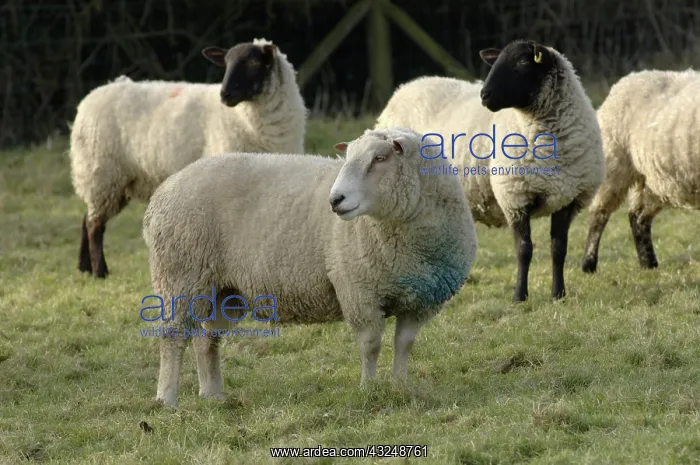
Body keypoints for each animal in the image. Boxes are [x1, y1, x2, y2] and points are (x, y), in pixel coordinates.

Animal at [70, 38, 307, 279]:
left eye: (253, 62)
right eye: (226, 62)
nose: (224, 94)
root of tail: (92, 95)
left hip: (106, 180)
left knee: (86, 219)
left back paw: (83, 267)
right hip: (102, 174)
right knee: (94, 225)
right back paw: (99, 271)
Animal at [141, 127, 478, 407]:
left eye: (380, 158)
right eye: (348, 158)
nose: (335, 200)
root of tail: (162, 192)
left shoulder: (421, 301)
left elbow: (404, 345)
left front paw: (400, 386)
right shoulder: (358, 291)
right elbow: (371, 345)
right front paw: (369, 388)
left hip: (223, 290)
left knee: (206, 340)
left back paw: (212, 395)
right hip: (181, 276)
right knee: (173, 337)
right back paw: (166, 399)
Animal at [375, 39, 605, 302]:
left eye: (523, 61)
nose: (485, 95)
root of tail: (405, 88)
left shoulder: (567, 198)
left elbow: (559, 250)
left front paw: (559, 294)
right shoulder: (515, 197)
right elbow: (524, 250)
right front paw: (519, 296)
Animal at [581, 69, 700, 273]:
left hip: (653, 179)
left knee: (638, 216)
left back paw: (648, 263)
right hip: (615, 162)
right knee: (599, 213)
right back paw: (588, 263)